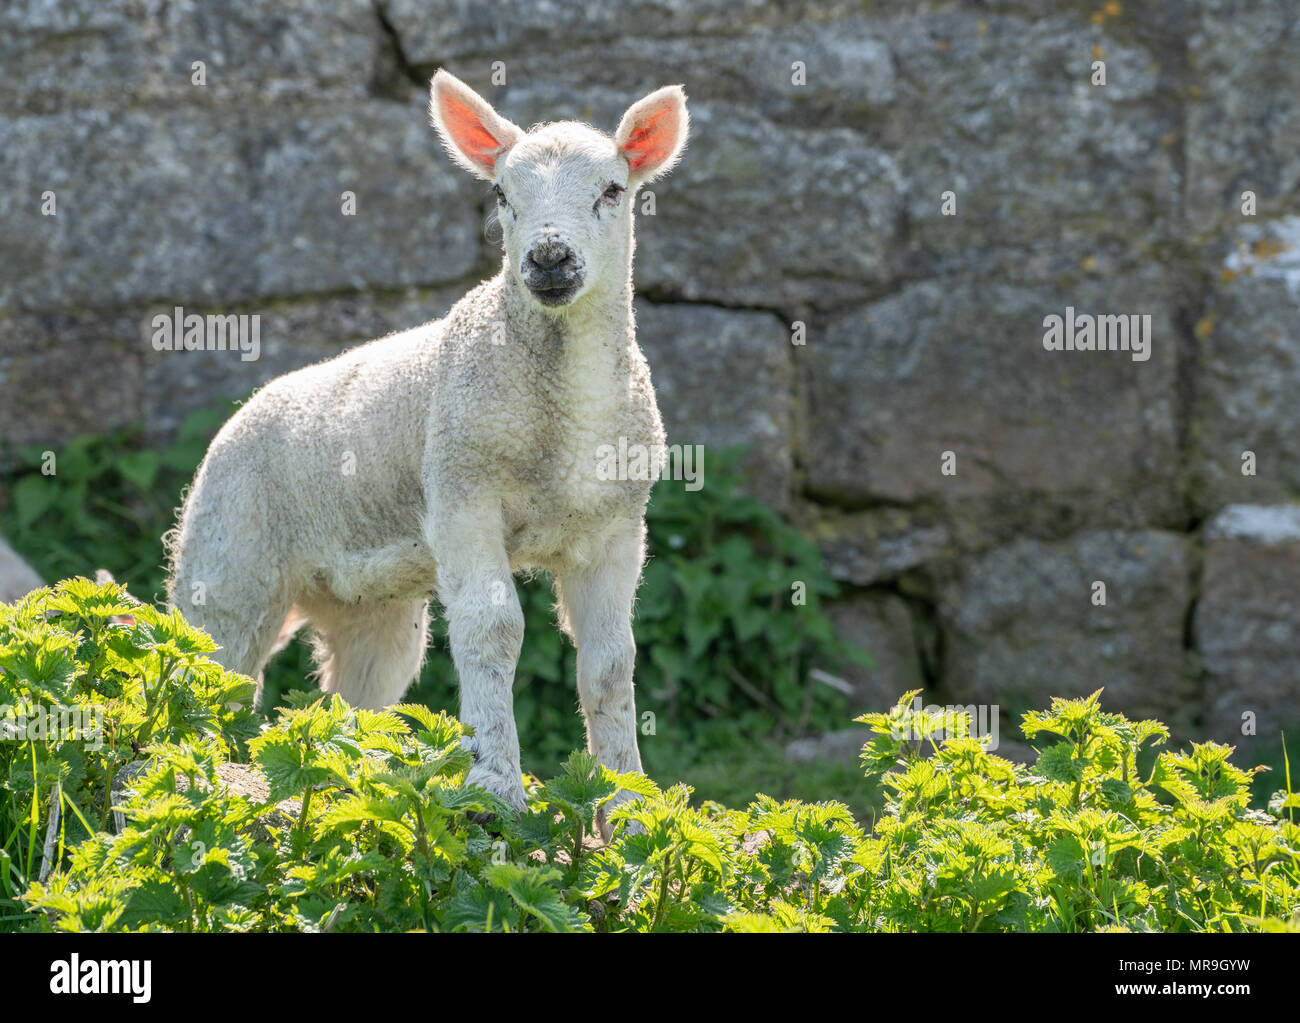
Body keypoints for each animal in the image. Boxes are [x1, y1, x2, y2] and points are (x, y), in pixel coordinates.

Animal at [165, 67, 691, 826]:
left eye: (613, 190)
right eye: (501, 195)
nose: (549, 258)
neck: (561, 418)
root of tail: (244, 412)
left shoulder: (616, 525)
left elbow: (610, 663)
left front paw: (627, 806)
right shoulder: (461, 490)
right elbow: (493, 630)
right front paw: (495, 788)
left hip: (371, 607)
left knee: (353, 699)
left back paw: (347, 778)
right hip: (227, 559)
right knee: (205, 673)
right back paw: (187, 772)